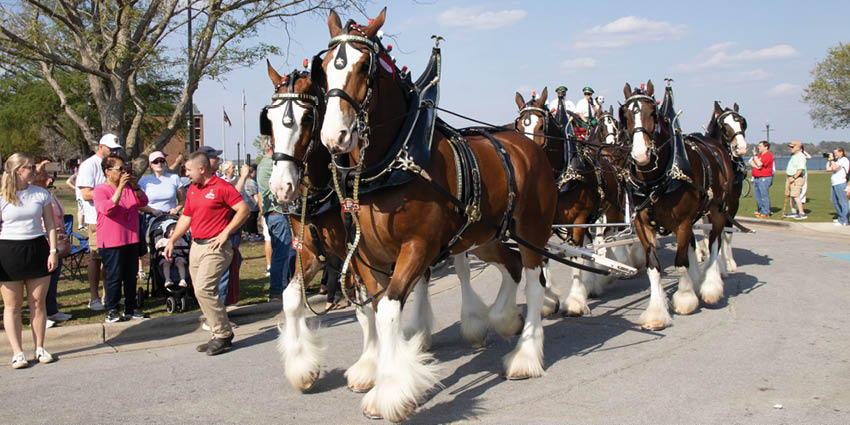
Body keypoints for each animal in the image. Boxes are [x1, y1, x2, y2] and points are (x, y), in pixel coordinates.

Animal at [315, 9, 557, 421]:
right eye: (325, 67)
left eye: (364, 67)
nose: (335, 137)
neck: (395, 160)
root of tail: (528, 146)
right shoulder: (367, 255)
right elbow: (377, 309)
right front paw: (387, 374)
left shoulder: (418, 247)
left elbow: (388, 311)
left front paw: (390, 391)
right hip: (485, 237)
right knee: (510, 266)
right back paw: (502, 318)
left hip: (533, 232)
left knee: (533, 279)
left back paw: (525, 355)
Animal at [622, 80, 732, 330]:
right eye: (626, 115)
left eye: (653, 113)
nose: (640, 154)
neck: (656, 180)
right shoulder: (643, 224)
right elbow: (654, 266)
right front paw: (656, 312)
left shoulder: (682, 221)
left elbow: (681, 261)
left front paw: (685, 298)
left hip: (717, 210)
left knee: (714, 241)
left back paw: (710, 286)